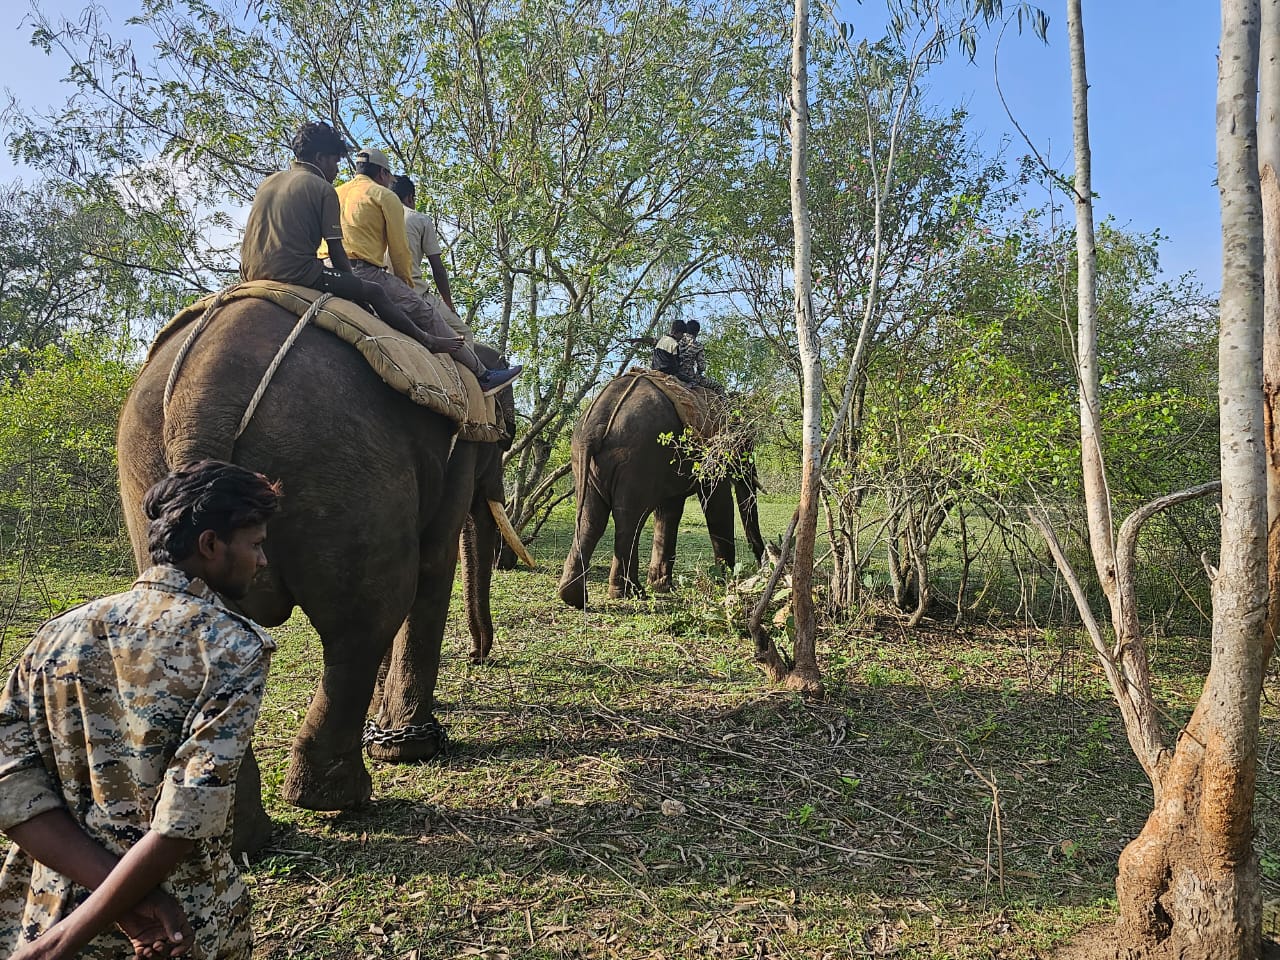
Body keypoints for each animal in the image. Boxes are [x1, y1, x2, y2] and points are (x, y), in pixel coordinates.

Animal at [115, 296, 522, 855]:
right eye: (505, 441)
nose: (480, 656)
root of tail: (201, 395)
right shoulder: (460, 442)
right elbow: (433, 563)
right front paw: (409, 748)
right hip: (347, 463)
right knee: (370, 613)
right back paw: (338, 797)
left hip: (148, 472)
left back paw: (242, 836)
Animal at [558, 371, 757, 604]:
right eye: (746, 443)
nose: (761, 564)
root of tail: (594, 426)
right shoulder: (712, 452)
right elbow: (717, 504)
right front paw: (725, 583)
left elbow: (669, 511)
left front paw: (662, 587)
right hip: (638, 458)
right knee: (630, 520)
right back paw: (630, 592)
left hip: (584, 461)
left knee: (592, 520)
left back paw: (575, 597)